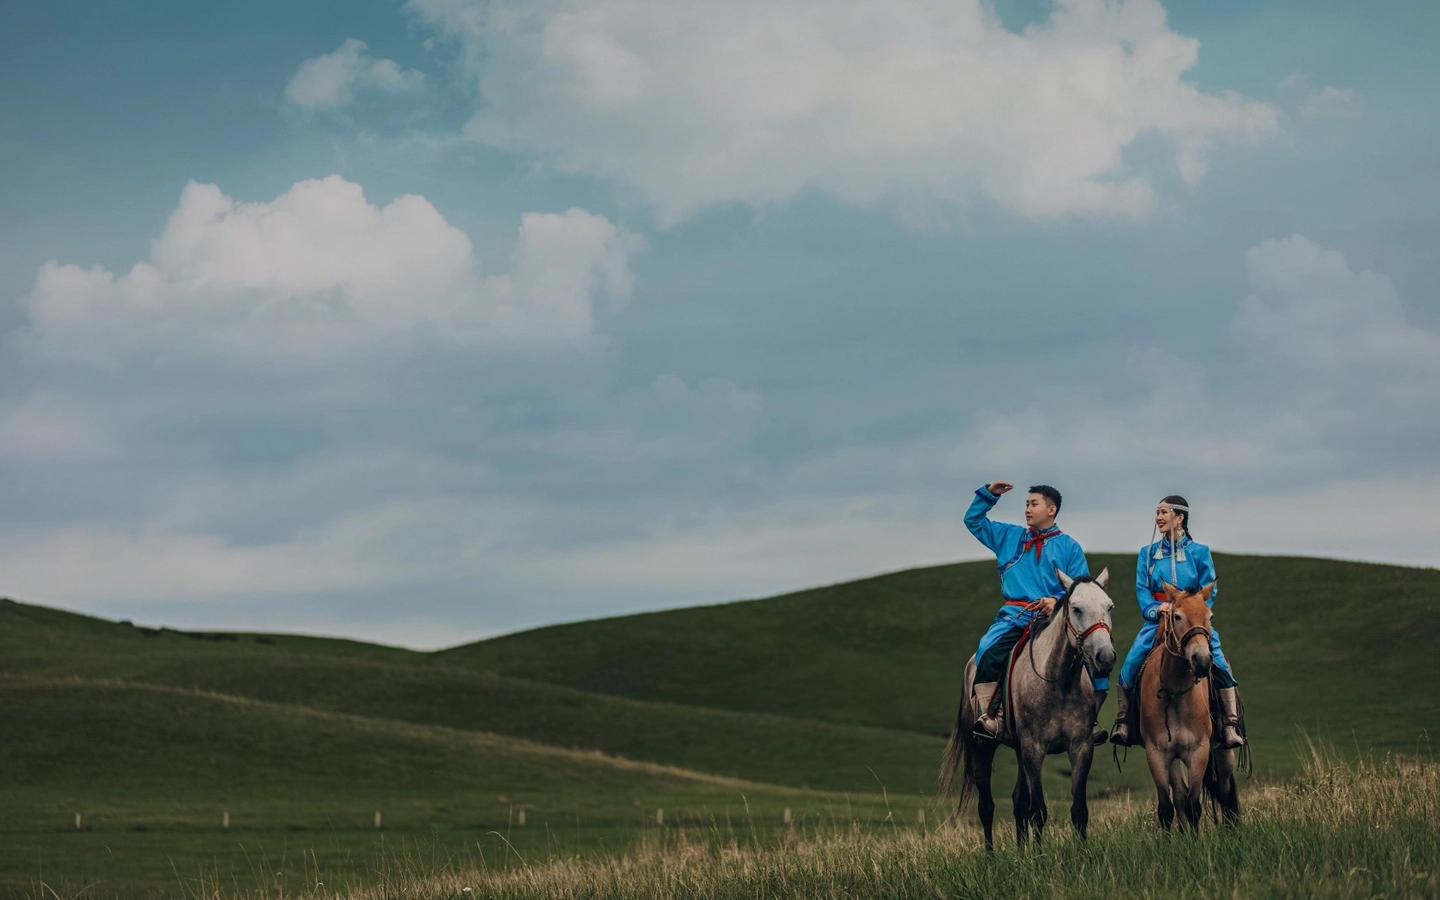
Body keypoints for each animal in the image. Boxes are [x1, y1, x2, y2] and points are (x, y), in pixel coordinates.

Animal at [938, 567, 1117, 846]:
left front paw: (1081, 853)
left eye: (1109, 606)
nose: (1105, 657)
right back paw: (991, 854)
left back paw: (1021, 851)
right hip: (982, 746)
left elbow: (1079, 810)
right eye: (1076, 608)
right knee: (986, 807)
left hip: (1018, 750)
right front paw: (1040, 854)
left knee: (1018, 801)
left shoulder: (1080, 747)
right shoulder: (1034, 748)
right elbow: (1039, 811)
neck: (1058, 682)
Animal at [1140, 581, 1232, 829]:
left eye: (1210, 616)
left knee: (1226, 789)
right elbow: (1168, 807)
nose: (1202, 660)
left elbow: (1194, 806)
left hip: (1222, 751)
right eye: (1177, 616)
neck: (1176, 693)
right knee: (1180, 796)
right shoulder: (1158, 753)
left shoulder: (1199, 751)